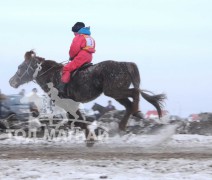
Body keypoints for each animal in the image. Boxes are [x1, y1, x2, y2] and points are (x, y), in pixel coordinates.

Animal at [9, 51, 166, 143]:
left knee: (134, 93)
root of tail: (124, 64)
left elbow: (78, 121)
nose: (11, 81)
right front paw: (90, 137)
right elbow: (79, 120)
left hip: (114, 91)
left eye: (20, 67)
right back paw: (122, 126)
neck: (52, 76)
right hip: (116, 93)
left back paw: (136, 111)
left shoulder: (67, 104)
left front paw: (90, 138)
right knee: (128, 104)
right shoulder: (71, 105)